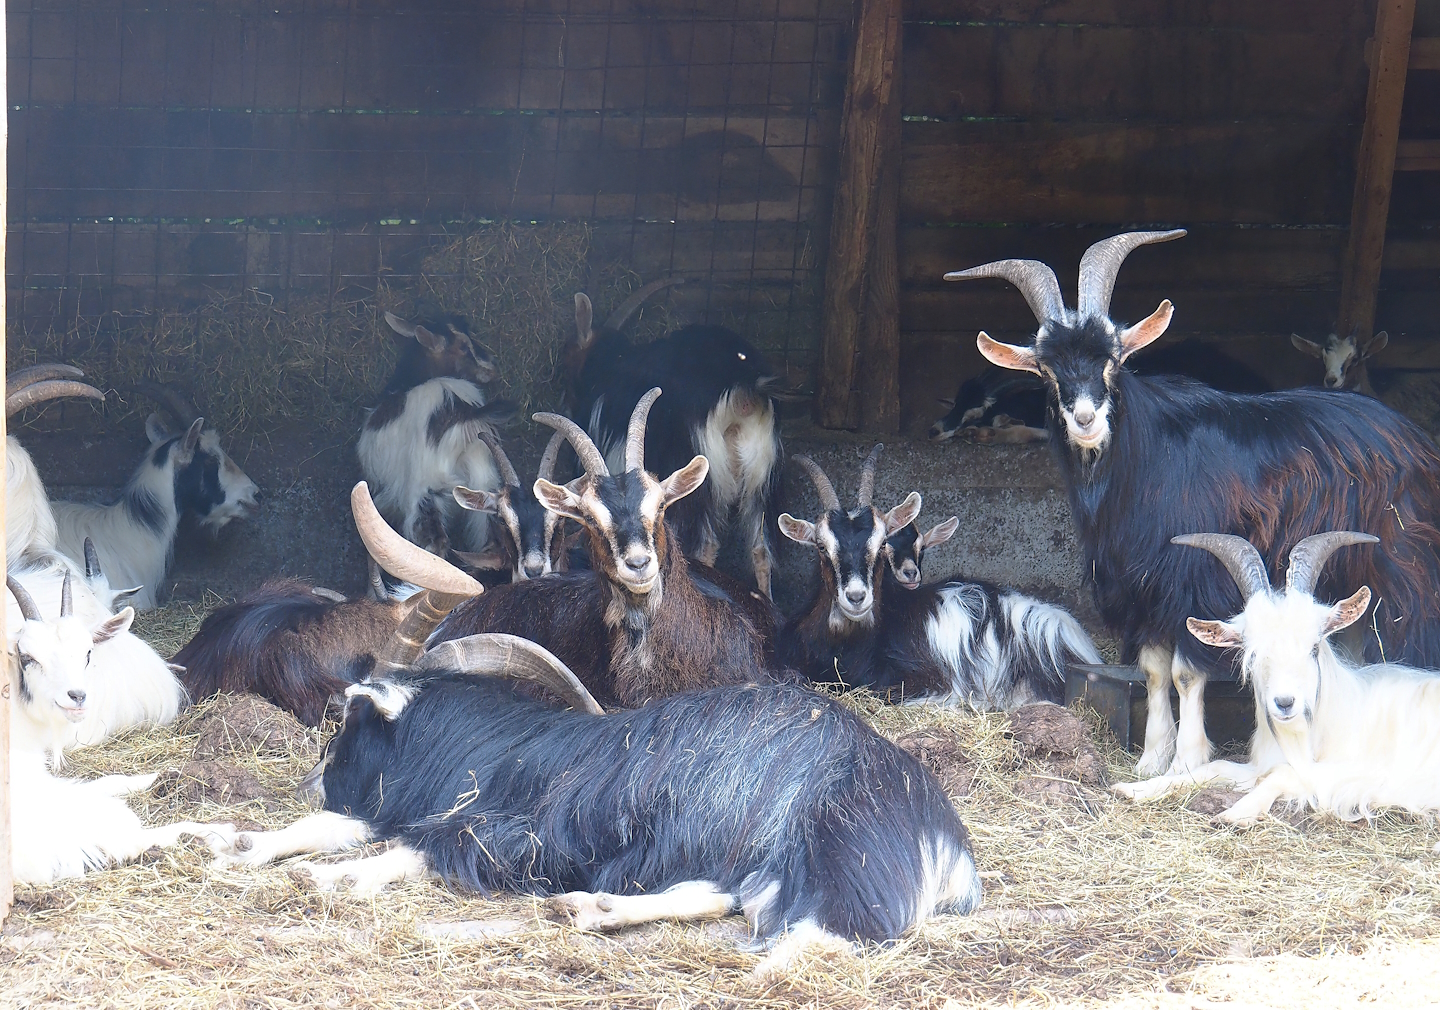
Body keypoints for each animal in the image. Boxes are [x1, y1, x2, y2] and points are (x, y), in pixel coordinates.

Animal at [209, 623, 980, 977]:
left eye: (350, 714)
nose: (312, 780)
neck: (501, 752)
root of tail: (947, 841)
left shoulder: (534, 832)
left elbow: (427, 846)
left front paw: (332, 878)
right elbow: (348, 829)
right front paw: (238, 845)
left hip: (833, 851)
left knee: (813, 932)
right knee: (724, 896)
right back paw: (591, 908)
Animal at [356, 310, 515, 554]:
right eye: (464, 346)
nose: (493, 367)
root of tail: (464, 415)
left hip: (426, 490)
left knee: (432, 541)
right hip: (484, 484)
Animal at [948, 229, 1440, 777]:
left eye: (1112, 358)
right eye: (1047, 369)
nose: (1085, 418)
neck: (1145, 465)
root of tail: (1415, 438)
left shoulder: (1193, 581)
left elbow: (1186, 673)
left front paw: (1187, 760)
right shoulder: (1141, 590)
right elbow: (1154, 671)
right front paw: (1151, 758)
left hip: (1403, 565)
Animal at [1116, 531, 1440, 826]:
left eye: (1314, 647)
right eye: (1253, 653)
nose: (1284, 703)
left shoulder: (1366, 772)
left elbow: (1287, 774)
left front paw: (1235, 813)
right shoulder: (1260, 763)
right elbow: (1215, 767)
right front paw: (1134, 788)